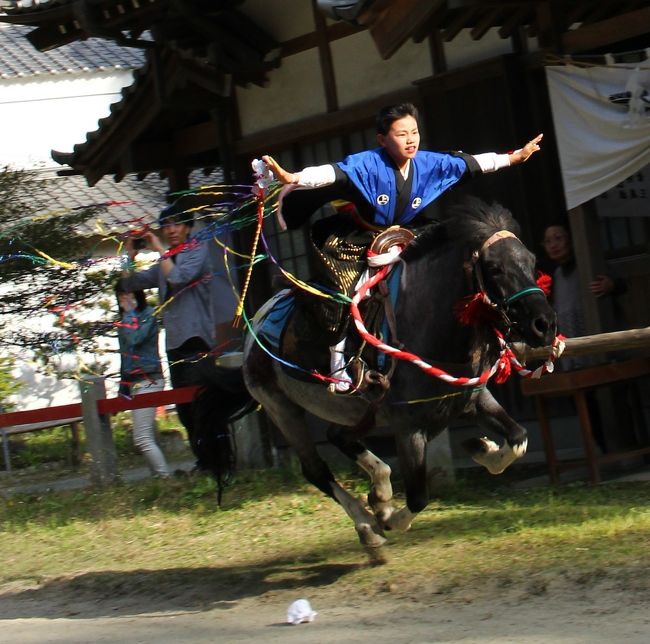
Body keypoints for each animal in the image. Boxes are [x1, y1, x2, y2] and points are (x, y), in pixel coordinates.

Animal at [240, 199, 556, 552]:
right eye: (495, 268)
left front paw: (481, 447)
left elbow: (518, 439)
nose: (544, 325)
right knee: (317, 470)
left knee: (339, 436)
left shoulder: (472, 399)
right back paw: (368, 525)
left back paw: (378, 492)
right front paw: (388, 518)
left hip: (360, 412)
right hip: (281, 407)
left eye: (531, 261)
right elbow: (418, 496)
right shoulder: (408, 427)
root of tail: (255, 324)